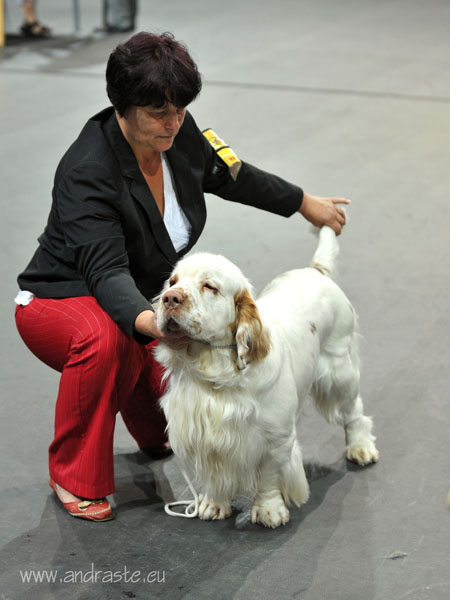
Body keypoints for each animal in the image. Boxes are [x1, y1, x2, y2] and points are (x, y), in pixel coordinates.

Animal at [153, 227, 378, 528]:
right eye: (172, 281)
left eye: (209, 286)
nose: (170, 298)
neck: (216, 371)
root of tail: (314, 271)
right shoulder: (204, 434)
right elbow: (213, 473)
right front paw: (214, 503)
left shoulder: (274, 439)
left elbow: (267, 477)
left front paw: (269, 510)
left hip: (339, 373)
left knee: (354, 411)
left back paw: (360, 447)